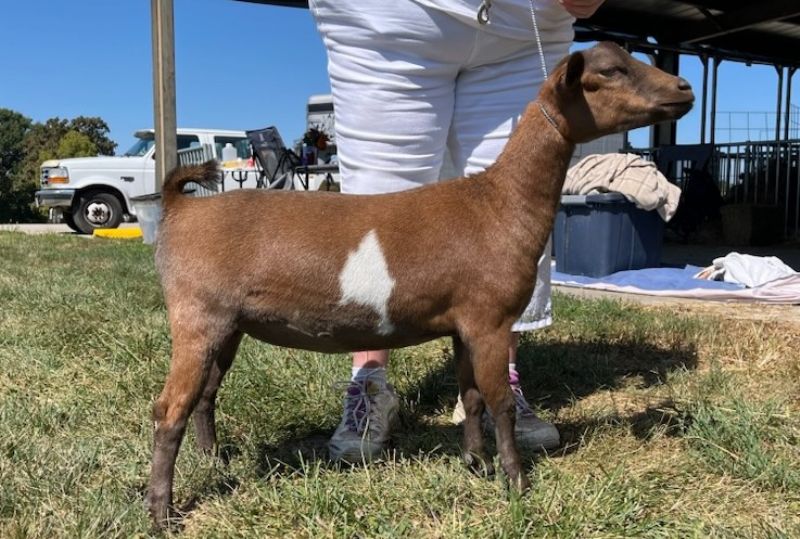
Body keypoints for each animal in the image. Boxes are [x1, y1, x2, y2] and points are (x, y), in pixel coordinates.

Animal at [147, 42, 693, 526]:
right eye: (610, 71)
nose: (683, 88)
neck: (497, 203)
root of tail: (181, 206)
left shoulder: (463, 325)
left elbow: (471, 397)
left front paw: (476, 464)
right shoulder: (489, 320)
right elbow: (499, 404)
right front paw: (517, 483)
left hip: (229, 325)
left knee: (204, 396)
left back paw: (213, 460)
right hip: (197, 316)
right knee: (169, 408)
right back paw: (161, 512)